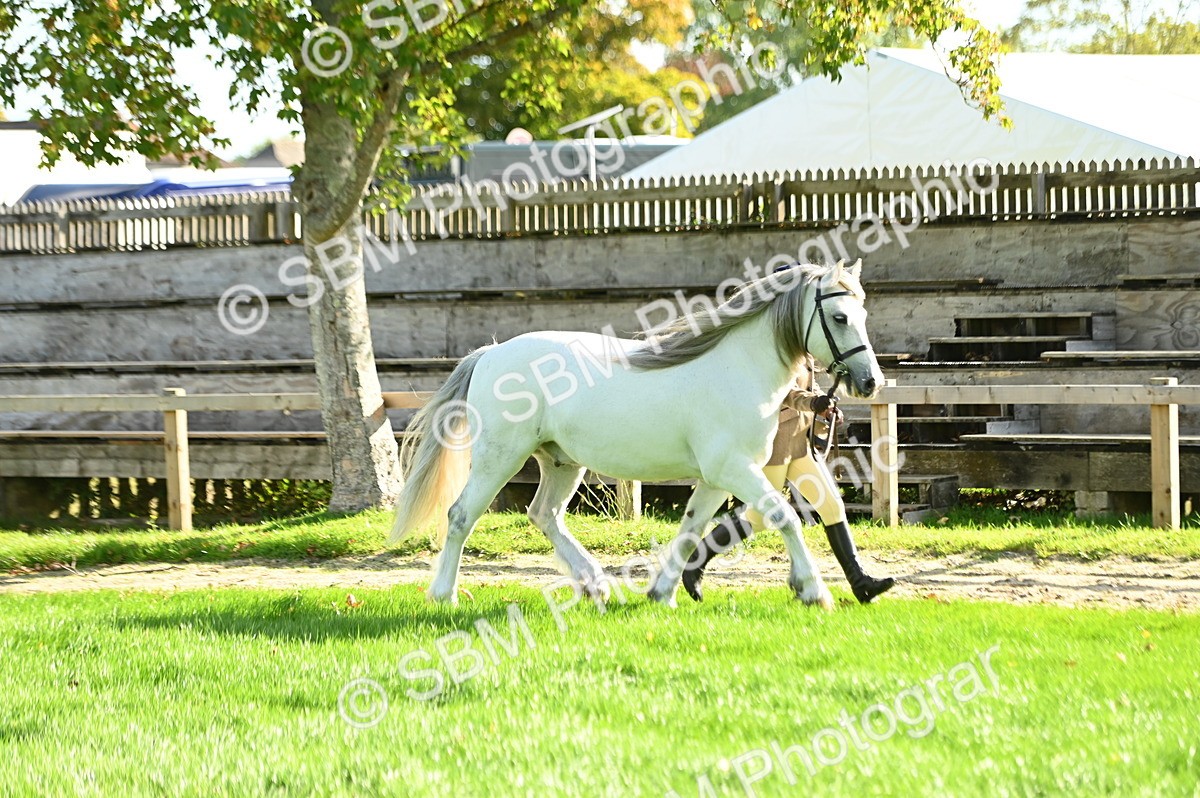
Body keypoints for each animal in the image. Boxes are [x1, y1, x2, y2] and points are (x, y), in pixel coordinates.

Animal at [388, 259, 884, 609]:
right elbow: (784, 517)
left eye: (862, 312)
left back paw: (596, 586)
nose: (871, 382)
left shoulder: (714, 478)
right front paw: (813, 590)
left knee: (544, 515)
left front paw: (662, 592)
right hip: (500, 456)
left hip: (560, 460)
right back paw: (445, 595)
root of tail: (489, 354)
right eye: (840, 317)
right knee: (460, 515)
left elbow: (692, 528)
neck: (740, 368)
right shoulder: (734, 469)